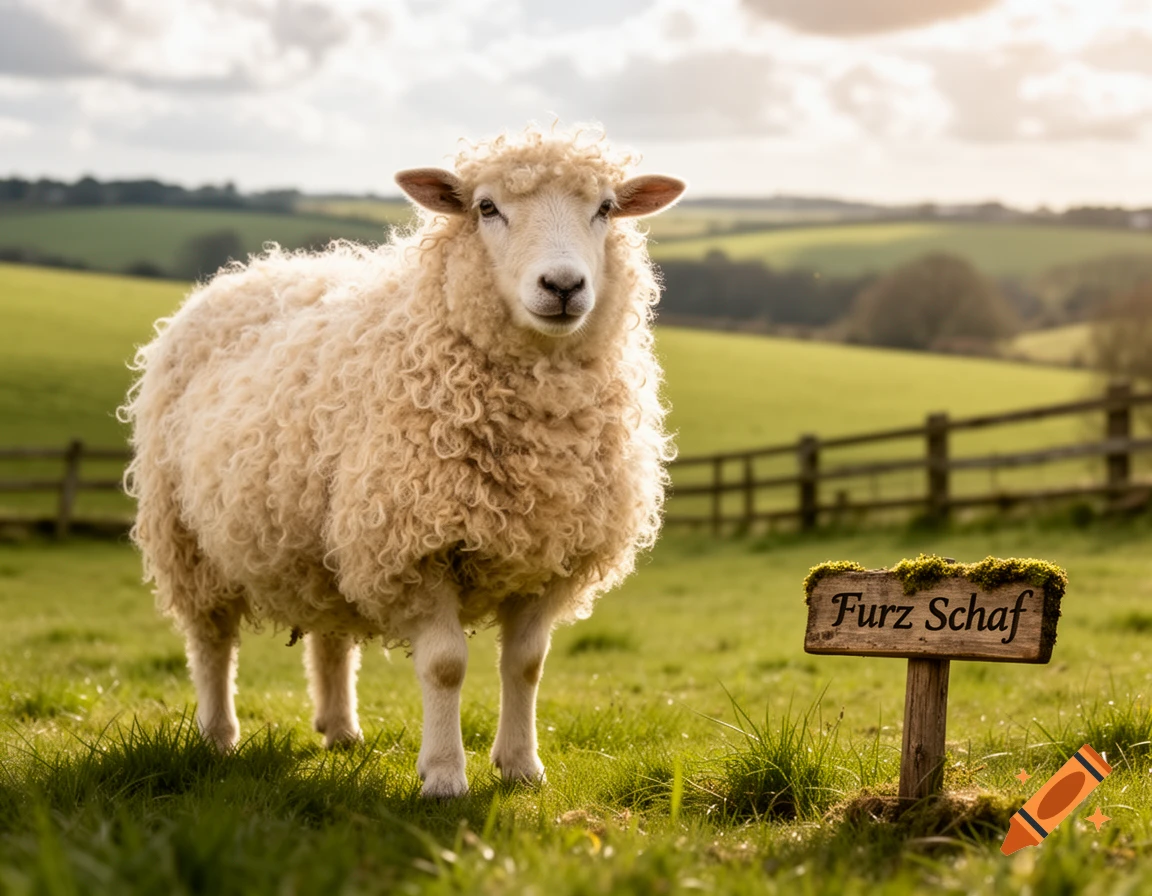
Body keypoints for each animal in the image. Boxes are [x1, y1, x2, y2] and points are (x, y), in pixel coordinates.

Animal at [120, 125, 685, 798]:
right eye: (486, 208)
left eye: (604, 208)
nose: (564, 286)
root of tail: (253, 270)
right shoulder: (415, 543)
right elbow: (444, 666)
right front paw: (443, 777)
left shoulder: (548, 555)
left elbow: (526, 665)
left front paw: (522, 768)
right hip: (187, 538)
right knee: (211, 641)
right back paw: (218, 736)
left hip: (323, 540)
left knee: (330, 636)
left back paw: (341, 730)